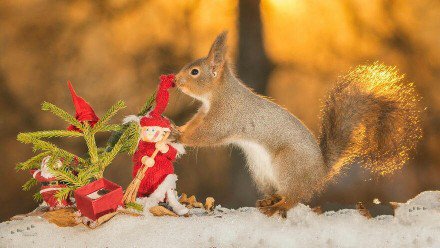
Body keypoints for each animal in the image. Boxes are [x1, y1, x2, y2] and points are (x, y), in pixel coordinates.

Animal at [174, 32, 422, 216]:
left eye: (194, 72)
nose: (176, 80)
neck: (219, 94)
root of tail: (319, 173)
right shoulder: (203, 114)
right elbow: (194, 125)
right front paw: (176, 129)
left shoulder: (225, 117)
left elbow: (206, 135)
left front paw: (179, 137)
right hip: (261, 171)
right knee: (285, 192)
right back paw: (270, 200)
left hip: (288, 165)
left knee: (295, 197)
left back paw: (278, 207)